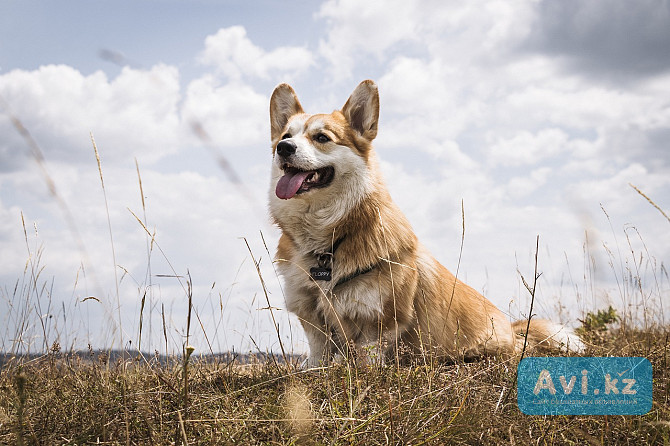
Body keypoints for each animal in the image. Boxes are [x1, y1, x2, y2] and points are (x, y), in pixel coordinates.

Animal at [268, 79, 584, 366]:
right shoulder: (313, 319)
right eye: (286, 134)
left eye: (322, 138)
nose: (283, 148)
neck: (327, 237)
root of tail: (515, 330)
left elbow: (368, 362)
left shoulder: (379, 323)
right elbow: (317, 358)